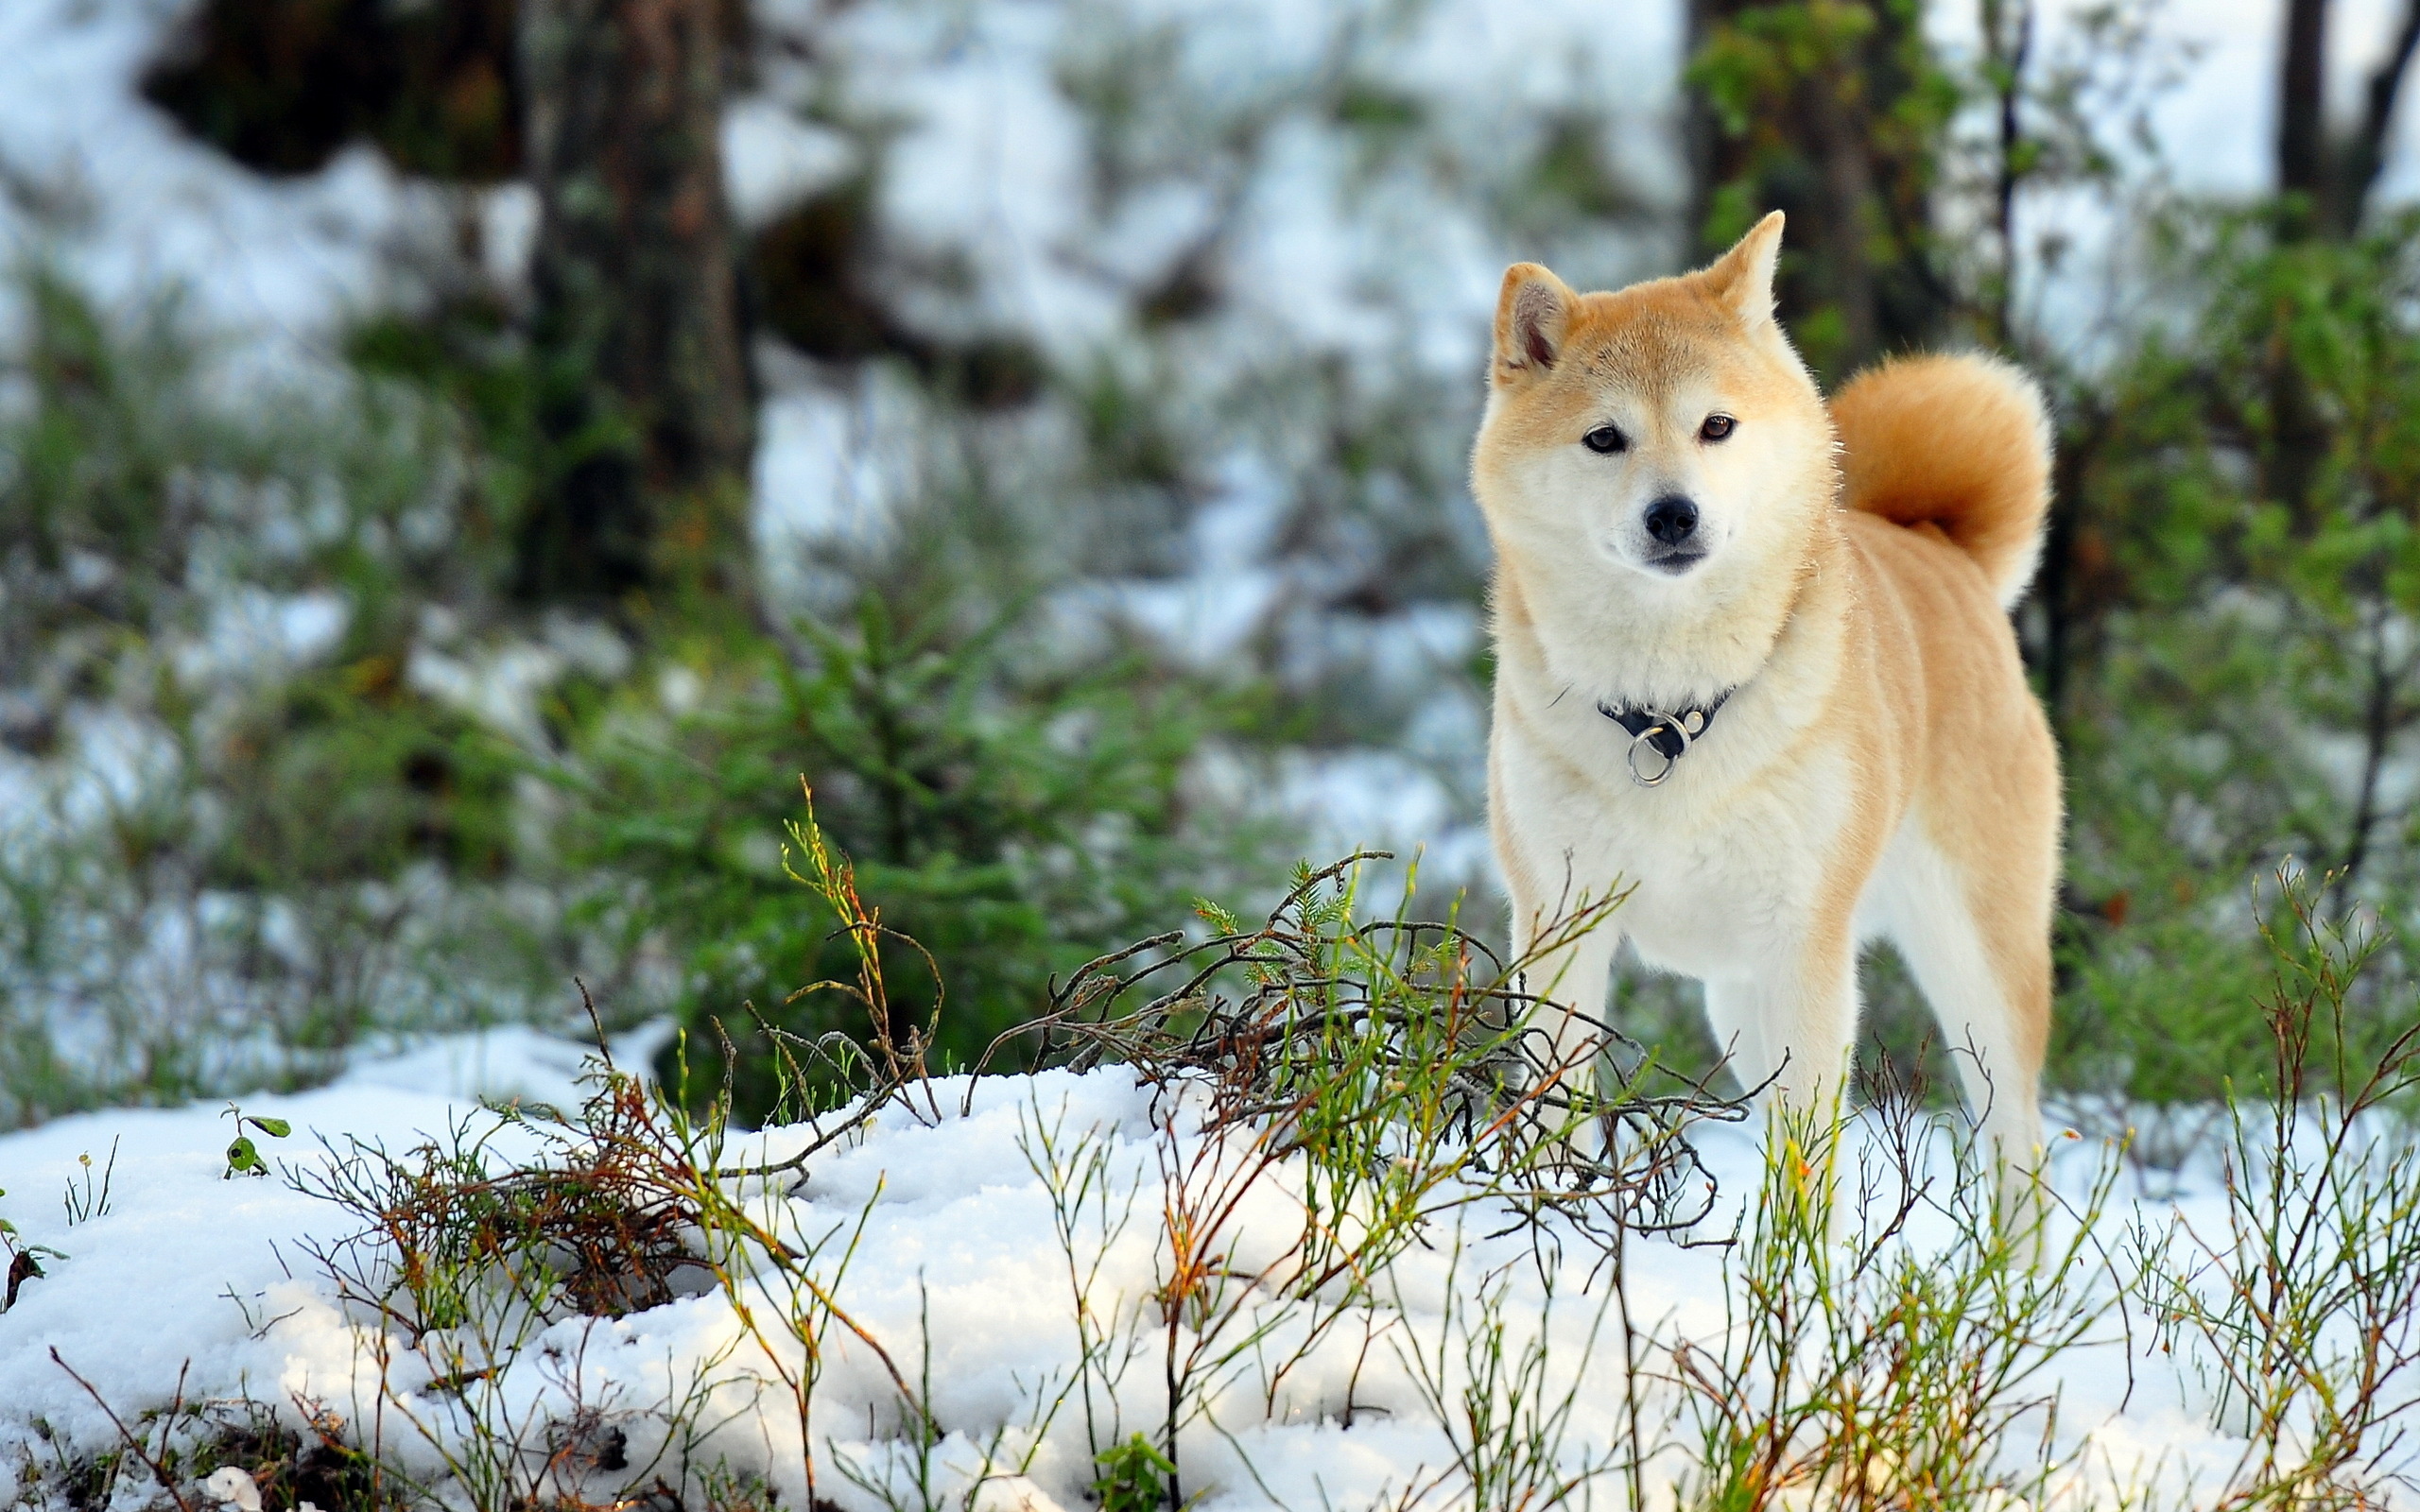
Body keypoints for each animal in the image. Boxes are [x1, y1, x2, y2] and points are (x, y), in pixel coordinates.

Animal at [1471, 209, 2062, 1165]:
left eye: (1717, 425)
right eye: (1605, 438)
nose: (1673, 514)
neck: (1669, 714)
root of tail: (1940, 546)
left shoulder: (1804, 951)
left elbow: (1806, 1170)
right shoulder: (1562, 931)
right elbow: (1555, 1119)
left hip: (1979, 972)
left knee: (2017, 1144)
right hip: (1738, 1005)